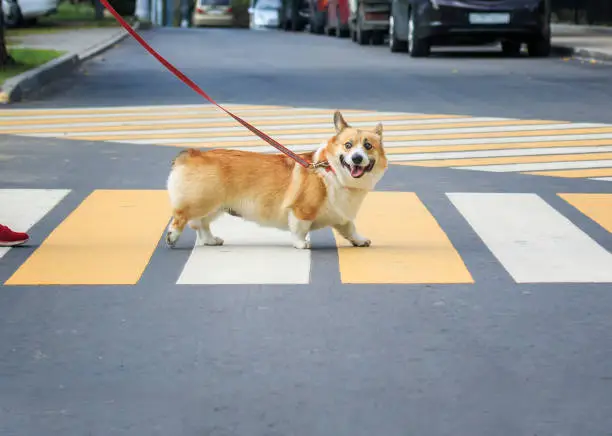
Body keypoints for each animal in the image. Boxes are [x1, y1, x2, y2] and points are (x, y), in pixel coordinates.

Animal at [165, 110, 390, 249]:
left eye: (368, 146)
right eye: (348, 145)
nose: (357, 158)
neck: (332, 171)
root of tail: (192, 154)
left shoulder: (341, 215)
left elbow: (350, 228)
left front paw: (360, 241)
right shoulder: (301, 210)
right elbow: (299, 230)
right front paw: (301, 244)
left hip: (215, 206)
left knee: (201, 225)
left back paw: (211, 240)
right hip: (202, 201)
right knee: (182, 217)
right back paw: (172, 236)